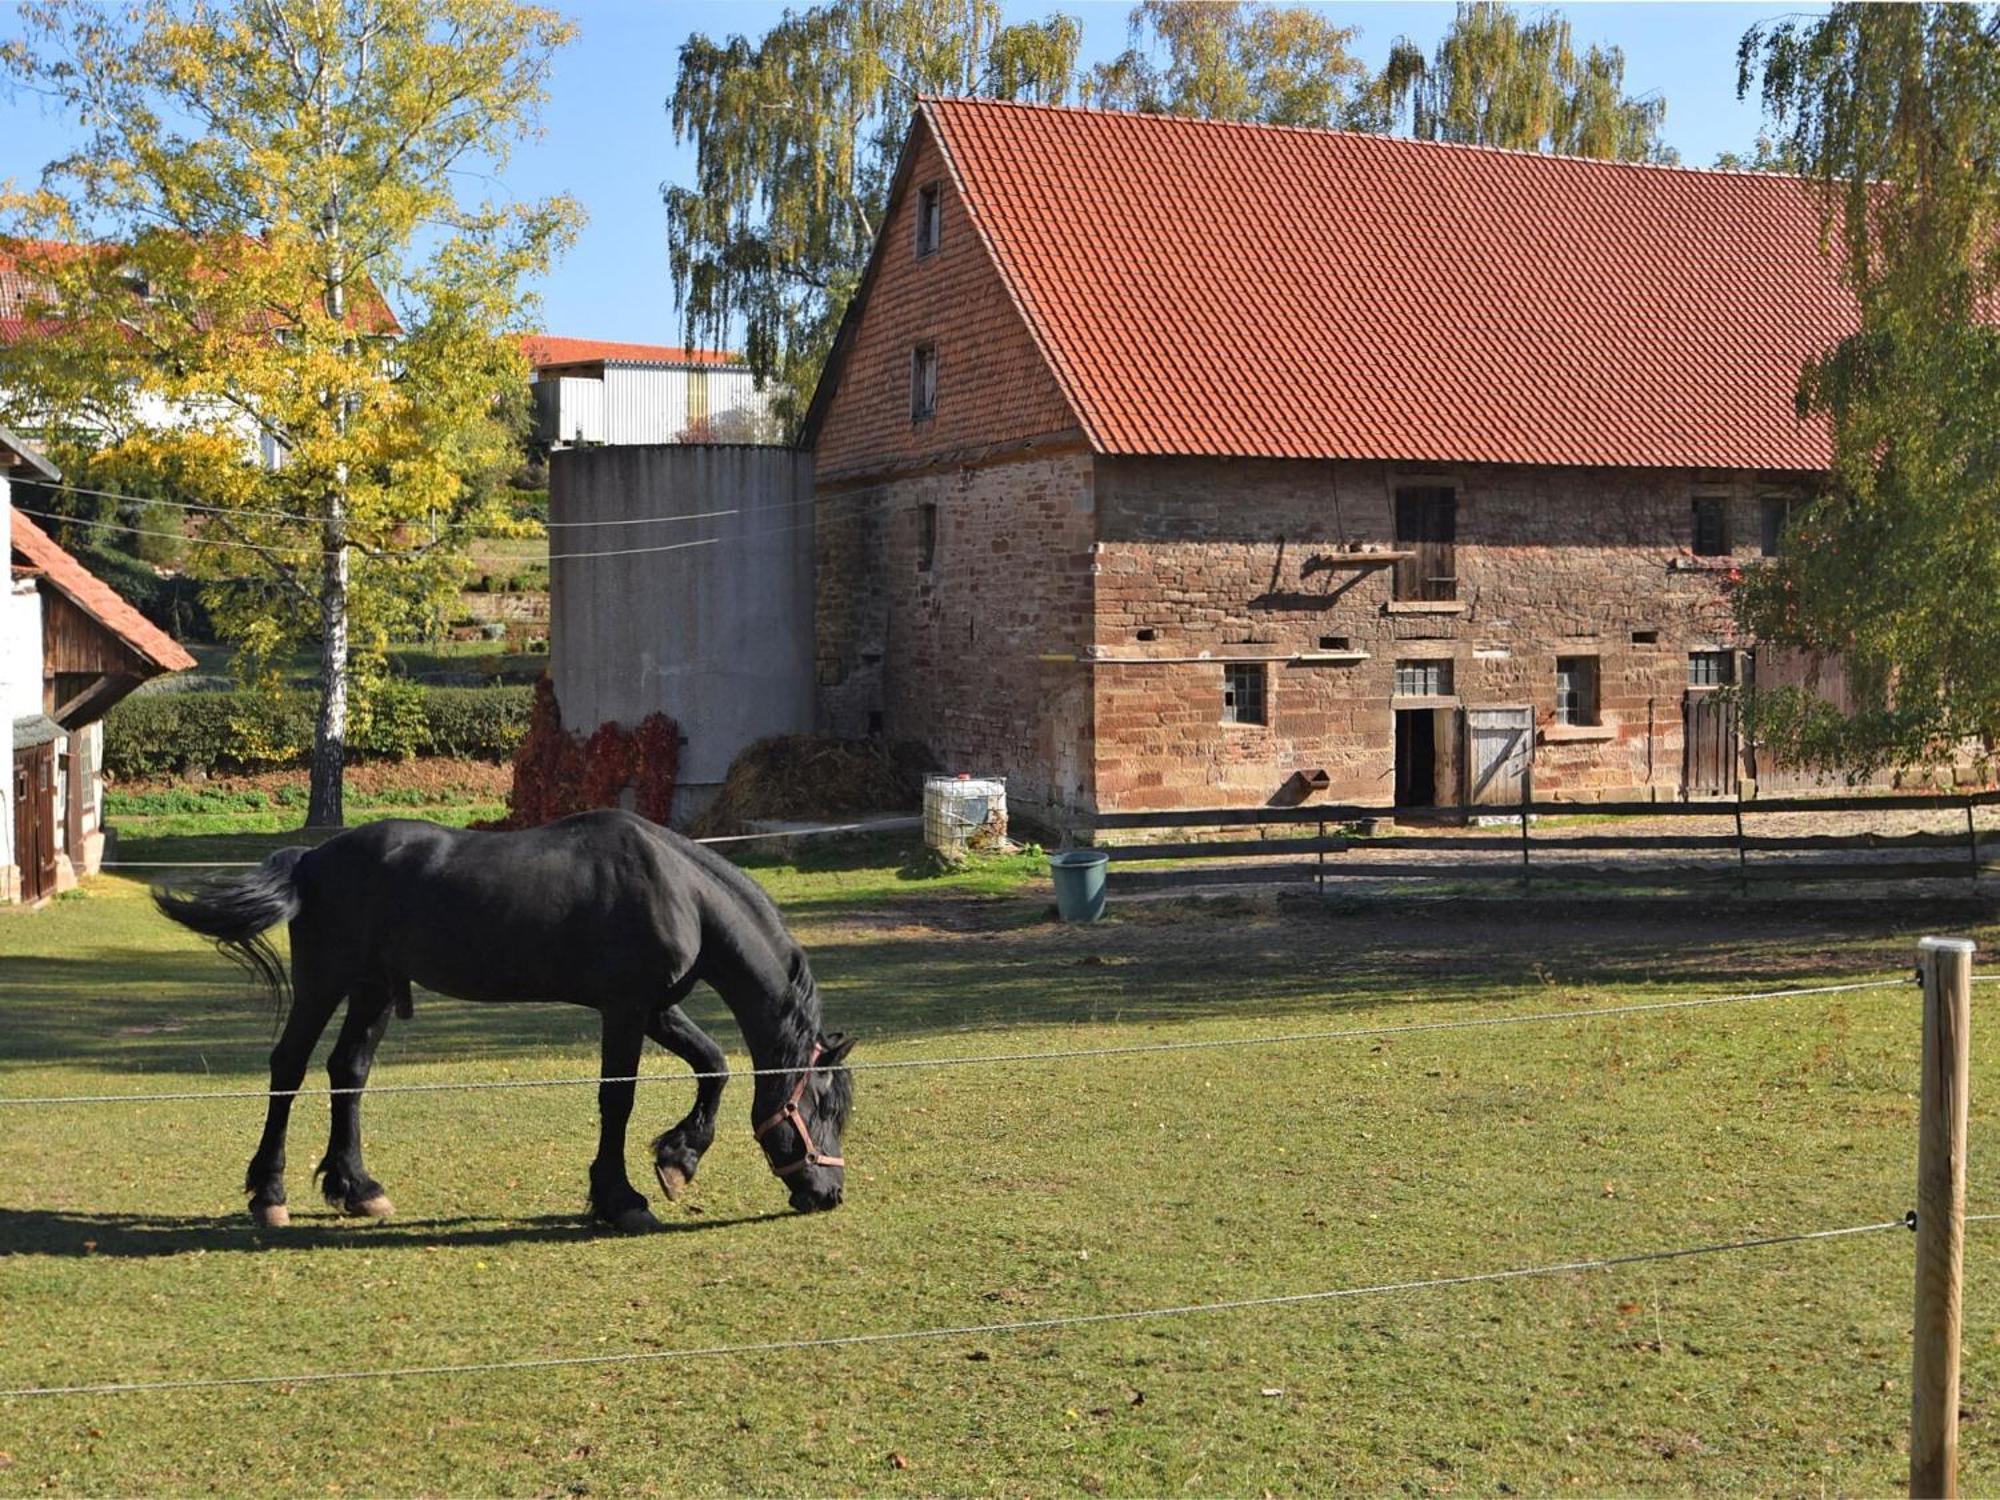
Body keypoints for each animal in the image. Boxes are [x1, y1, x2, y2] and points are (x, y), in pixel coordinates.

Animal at [150, 812, 852, 1232]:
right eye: (822, 1108)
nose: (828, 1193)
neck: (679, 889)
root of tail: (311, 858)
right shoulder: (627, 1009)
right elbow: (617, 1099)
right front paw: (622, 1198)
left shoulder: (656, 1008)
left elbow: (715, 1063)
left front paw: (679, 1159)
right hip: (326, 982)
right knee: (289, 1068)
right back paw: (269, 1196)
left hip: (373, 990)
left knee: (348, 1072)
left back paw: (357, 1187)